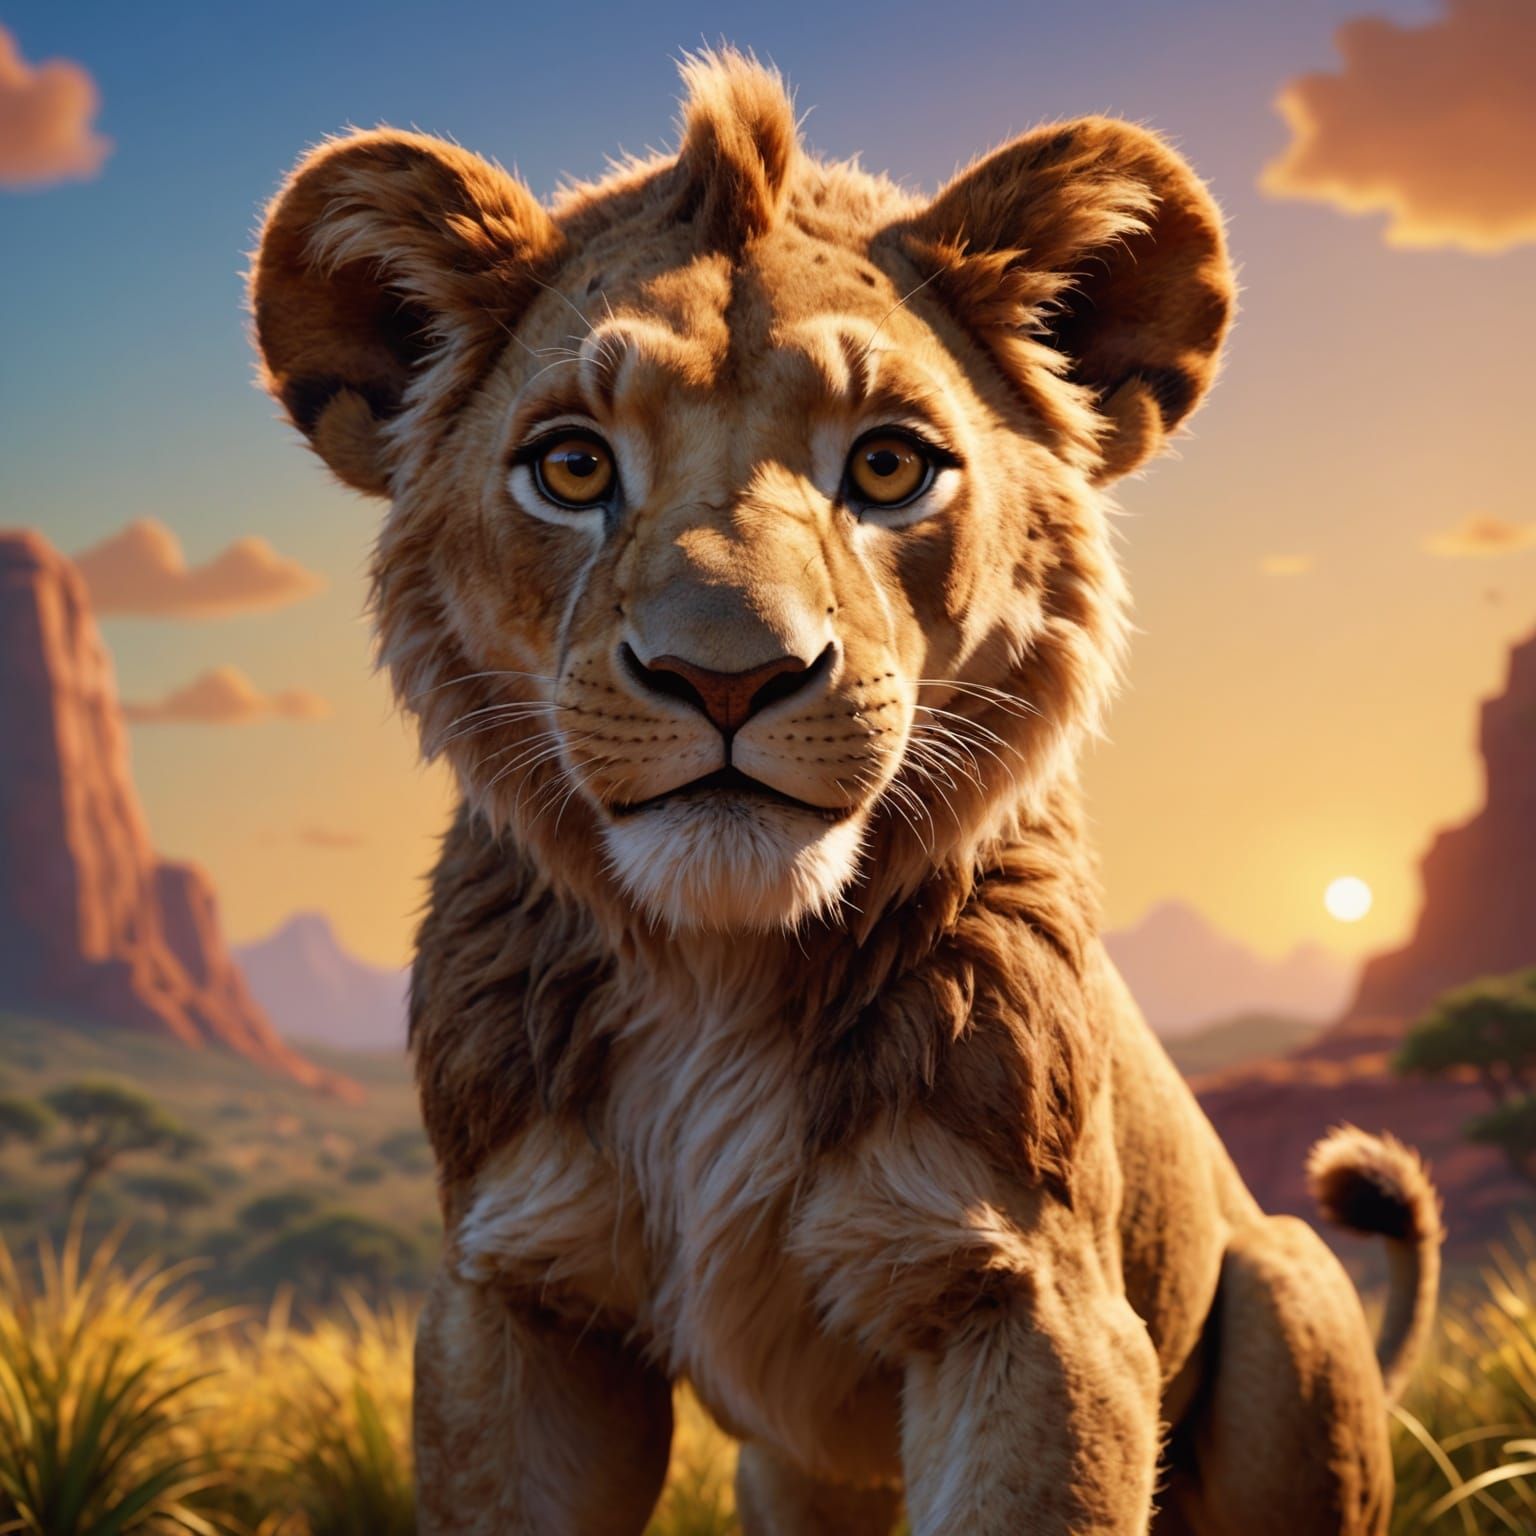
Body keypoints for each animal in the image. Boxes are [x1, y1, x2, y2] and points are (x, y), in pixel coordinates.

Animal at [250, 50, 1441, 1536]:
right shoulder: (511, 1297)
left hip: (1290, 1284)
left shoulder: (1039, 1313)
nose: (726, 675)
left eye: (888, 464)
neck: (720, 971)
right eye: (572, 465)